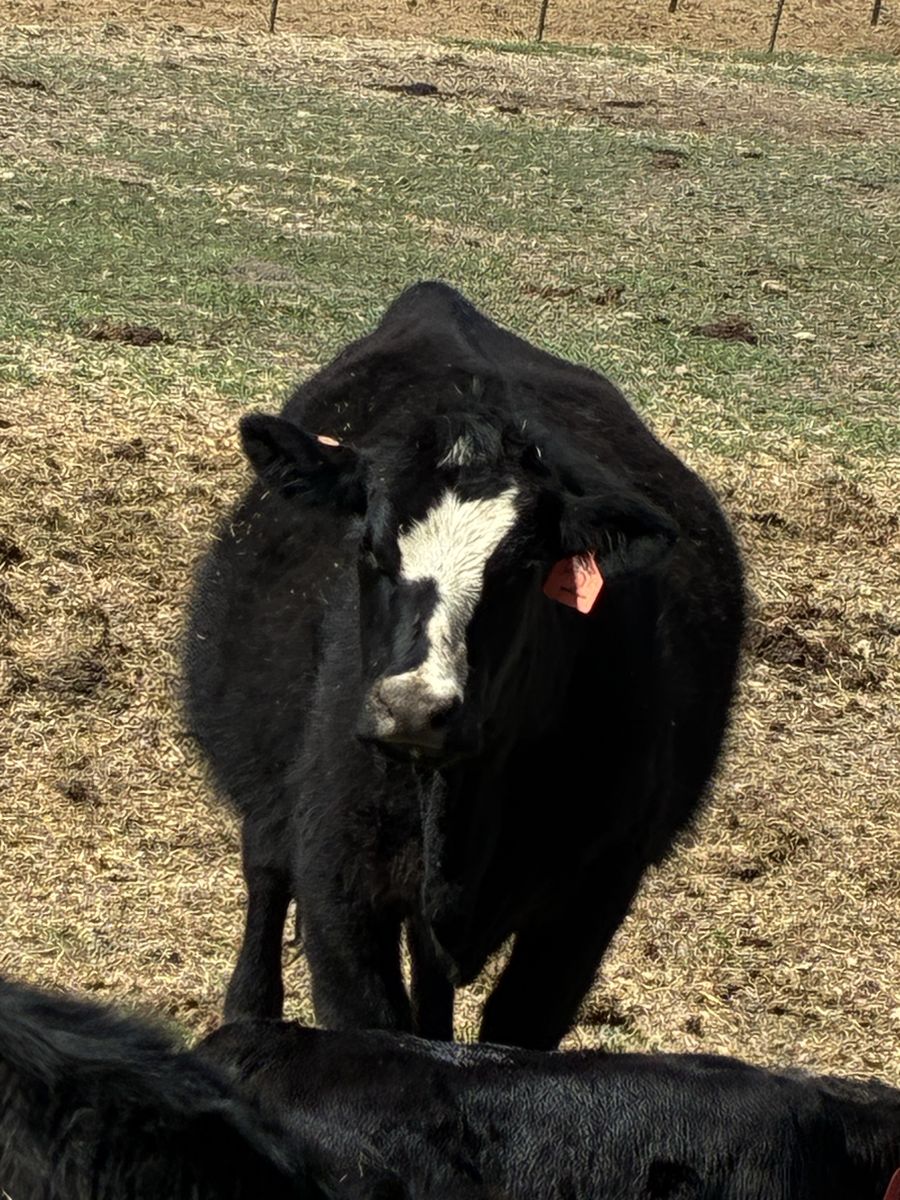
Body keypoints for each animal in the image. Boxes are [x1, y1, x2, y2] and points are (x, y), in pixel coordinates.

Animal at [183, 280, 745, 1049]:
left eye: (523, 567)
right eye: (370, 547)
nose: (414, 707)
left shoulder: (591, 899)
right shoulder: (337, 883)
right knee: (265, 876)